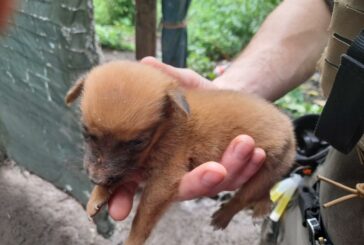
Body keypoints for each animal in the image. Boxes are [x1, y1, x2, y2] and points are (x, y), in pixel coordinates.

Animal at [66, 60, 296, 244]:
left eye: (138, 142)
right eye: (85, 133)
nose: (95, 179)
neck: (167, 127)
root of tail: (289, 126)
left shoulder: (163, 179)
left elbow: (142, 218)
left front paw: (133, 240)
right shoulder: (126, 167)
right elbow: (116, 174)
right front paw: (97, 196)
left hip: (269, 167)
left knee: (247, 196)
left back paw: (230, 214)